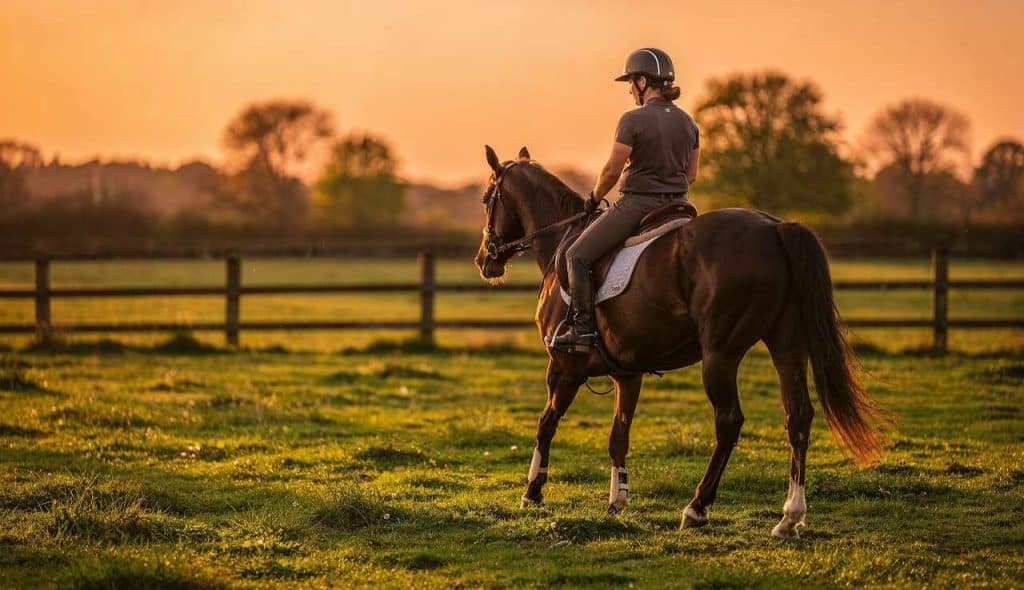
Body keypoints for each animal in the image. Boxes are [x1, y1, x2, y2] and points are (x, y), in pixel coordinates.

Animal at [473, 145, 883, 539]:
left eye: (487, 198)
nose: (483, 259)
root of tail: (776, 228)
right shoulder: (628, 375)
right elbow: (618, 435)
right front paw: (617, 501)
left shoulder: (563, 367)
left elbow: (547, 423)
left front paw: (532, 493)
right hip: (787, 346)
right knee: (797, 416)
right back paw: (789, 518)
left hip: (720, 354)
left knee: (729, 422)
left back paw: (697, 508)